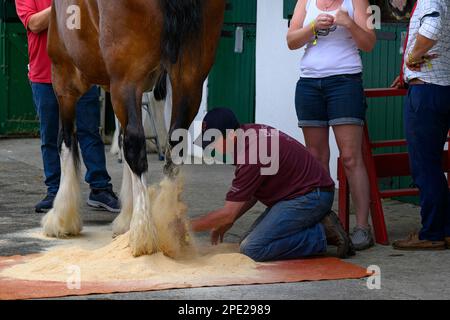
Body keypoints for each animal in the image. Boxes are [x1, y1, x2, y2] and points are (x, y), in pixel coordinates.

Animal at [41, 0, 225, 256]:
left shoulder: (64, 80)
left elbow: (66, 142)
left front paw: (62, 219)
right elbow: (122, 143)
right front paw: (126, 220)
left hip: (124, 81)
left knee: (135, 146)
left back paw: (143, 235)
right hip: (189, 80)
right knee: (173, 144)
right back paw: (169, 224)